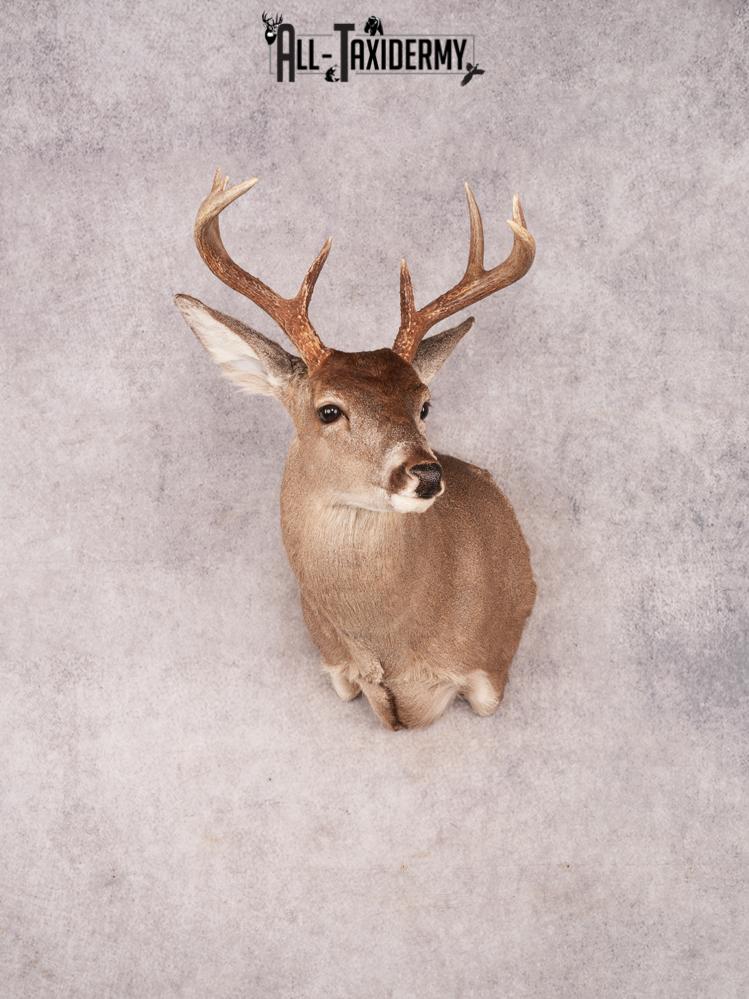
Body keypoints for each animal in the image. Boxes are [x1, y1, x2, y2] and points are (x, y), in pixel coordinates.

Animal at [175, 168, 537, 730]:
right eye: (328, 410)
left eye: (425, 404)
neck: (389, 645)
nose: (426, 474)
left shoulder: (490, 669)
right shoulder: (336, 668)